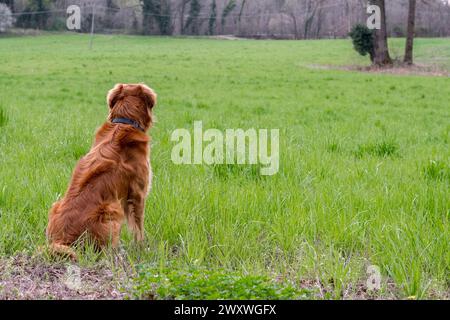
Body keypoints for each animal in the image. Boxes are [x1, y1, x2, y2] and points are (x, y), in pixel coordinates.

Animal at [46, 83, 157, 260]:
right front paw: (142, 248)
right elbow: (138, 227)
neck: (125, 122)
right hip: (112, 208)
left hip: (56, 205)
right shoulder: (137, 194)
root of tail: (61, 239)